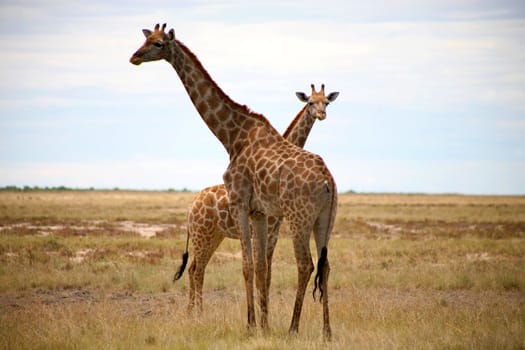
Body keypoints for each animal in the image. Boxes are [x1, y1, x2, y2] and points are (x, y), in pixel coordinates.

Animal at [174, 83, 340, 314]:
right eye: (310, 102)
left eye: (326, 102)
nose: (322, 114)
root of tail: (191, 208)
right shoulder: (263, 229)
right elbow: (261, 272)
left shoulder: (273, 233)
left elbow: (267, 274)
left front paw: (265, 311)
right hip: (202, 234)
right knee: (196, 270)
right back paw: (198, 313)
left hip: (215, 235)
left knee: (193, 268)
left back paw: (191, 313)